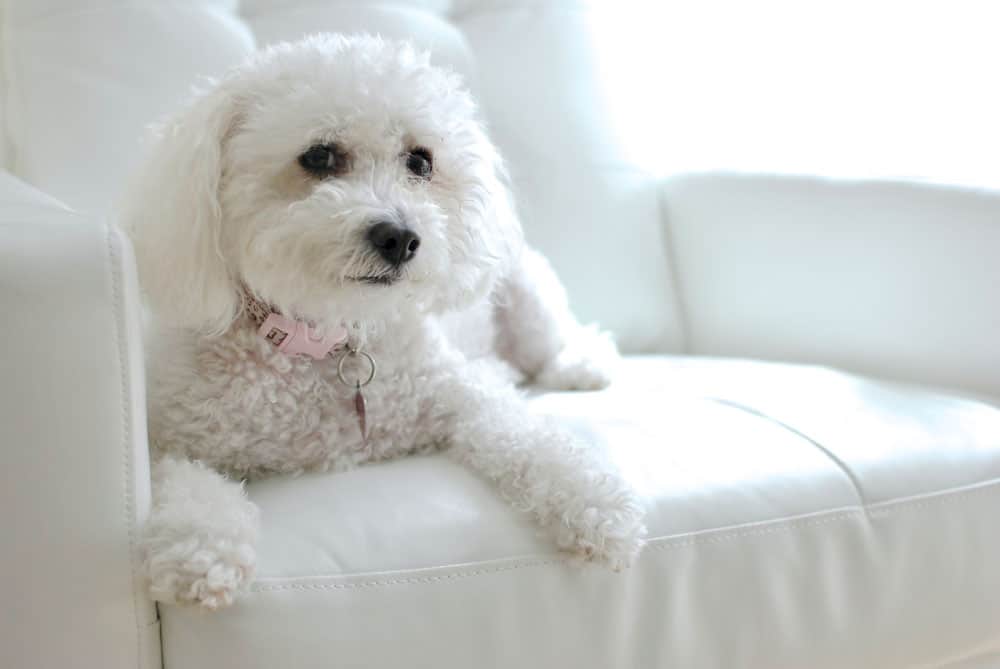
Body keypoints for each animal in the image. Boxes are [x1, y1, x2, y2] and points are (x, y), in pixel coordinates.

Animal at [123, 34, 648, 608]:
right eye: (319, 155)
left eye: (420, 161)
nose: (399, 237)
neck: (329, 337)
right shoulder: (171, 434)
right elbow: (181, 480)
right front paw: (202, 548)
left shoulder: (462, 396)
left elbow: (529, 438)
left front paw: (597, 503)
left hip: (526, 295)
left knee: (561, 342)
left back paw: (579, 366)